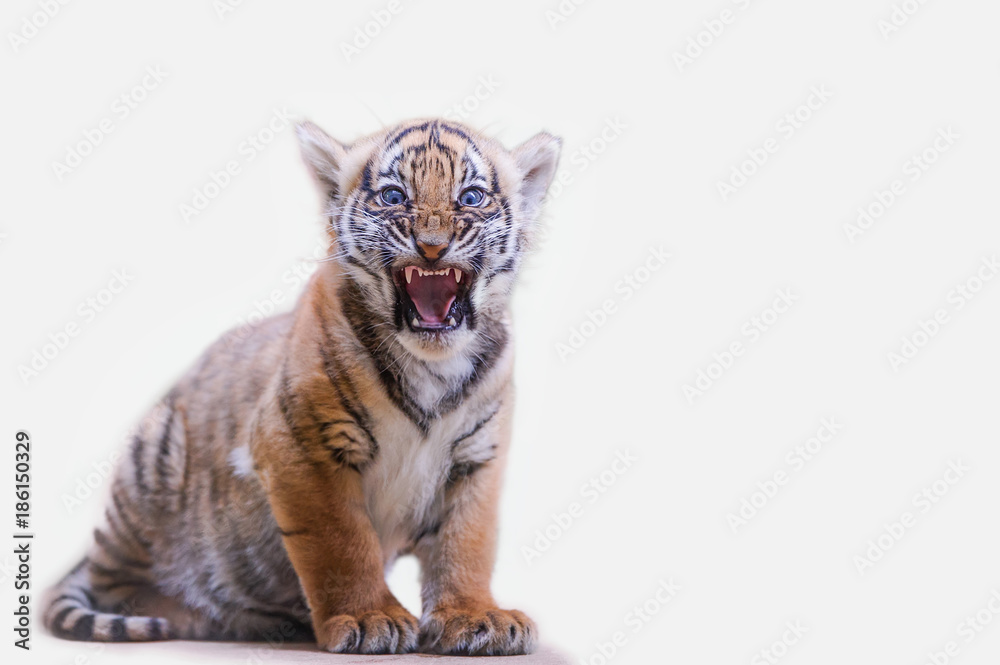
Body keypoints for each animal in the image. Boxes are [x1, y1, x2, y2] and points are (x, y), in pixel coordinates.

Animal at [42, 118, 561, 655]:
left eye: (471, 197)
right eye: (394, 196)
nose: (432, 245)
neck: (431, 364)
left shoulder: (477, 457)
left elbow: (467, 543)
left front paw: (476, 618)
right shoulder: (302, 445)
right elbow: (341, 541)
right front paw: (370, 619)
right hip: (149, 458)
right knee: (122, 588)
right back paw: (203, 614)